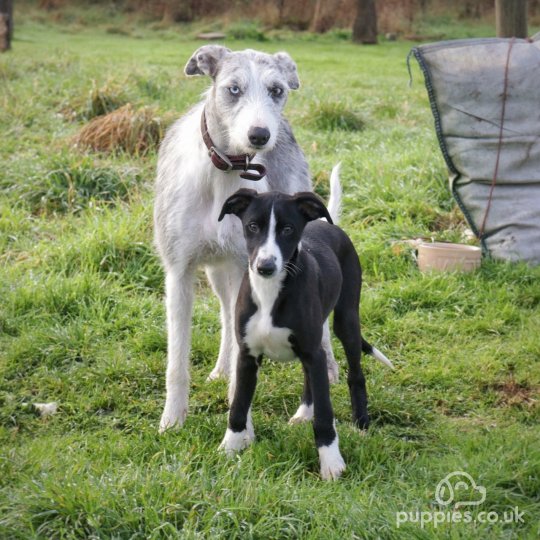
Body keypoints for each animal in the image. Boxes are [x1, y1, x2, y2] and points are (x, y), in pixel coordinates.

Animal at [153, 45, 338, 430]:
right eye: (233, 89)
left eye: (277, 90)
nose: (260, 136)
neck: (223, 170)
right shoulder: (178, 271)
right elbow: (177, 359)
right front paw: (172, 420)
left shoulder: (249, 267)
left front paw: (240, 420)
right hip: (218, 270)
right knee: (227, 316)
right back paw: (222, 369)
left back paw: (321, 384)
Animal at [216, 188, 392, 478]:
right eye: (252, 226)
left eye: (288, 229)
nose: (265, 266)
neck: (270, 292)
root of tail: (327, 224)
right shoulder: (247, 356)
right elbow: (238, 405)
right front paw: (229, 449)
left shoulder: (313, 352)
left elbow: (325, 414)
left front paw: (331, 462)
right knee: (310, 375)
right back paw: (304, 413)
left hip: (346, 320)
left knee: (355, 375)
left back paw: (361, 425)